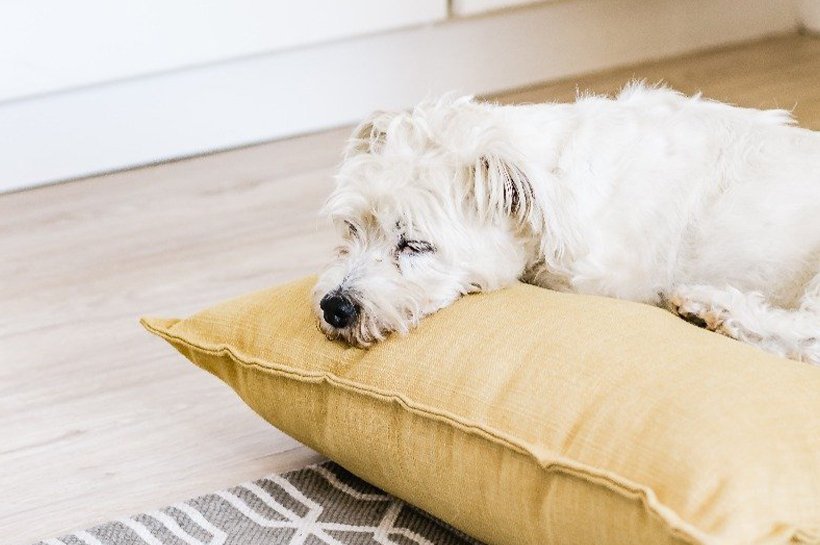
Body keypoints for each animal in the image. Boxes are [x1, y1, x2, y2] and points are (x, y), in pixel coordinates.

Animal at [314, 84, 820, 366]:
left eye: (415, 245)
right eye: (352, 229)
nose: (334, 307)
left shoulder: (605, 282)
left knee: (807, 335)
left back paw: (712, 306)